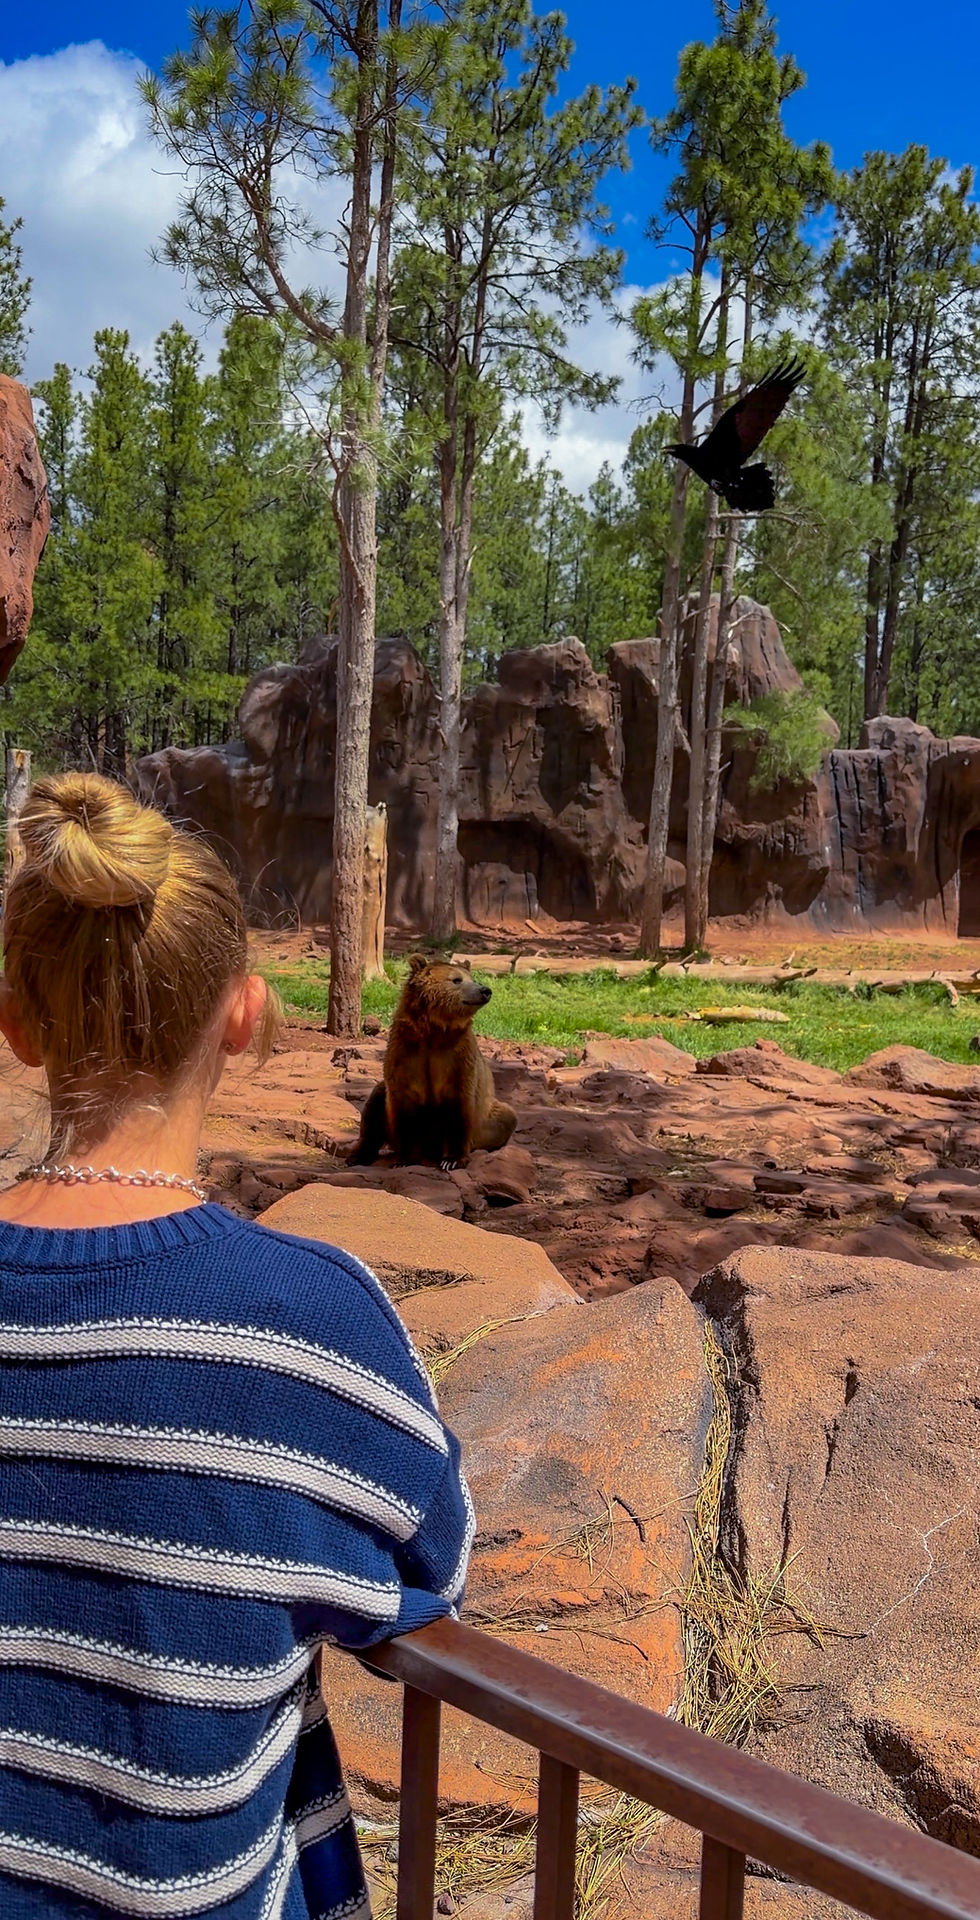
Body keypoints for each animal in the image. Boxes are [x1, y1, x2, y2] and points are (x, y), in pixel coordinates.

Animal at [348, 954, 517, 1170]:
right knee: (375, 1103)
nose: (485, 990)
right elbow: (403, 1105)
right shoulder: (406, 1053)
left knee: (507, 1117)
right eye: (456, 980)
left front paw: (452, 1160)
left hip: (486, 1119)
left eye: (472, 978)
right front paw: (404, 1159)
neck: (434, 1032)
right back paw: (358, 1155)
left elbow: (459, 1107)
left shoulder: (458, 1059)